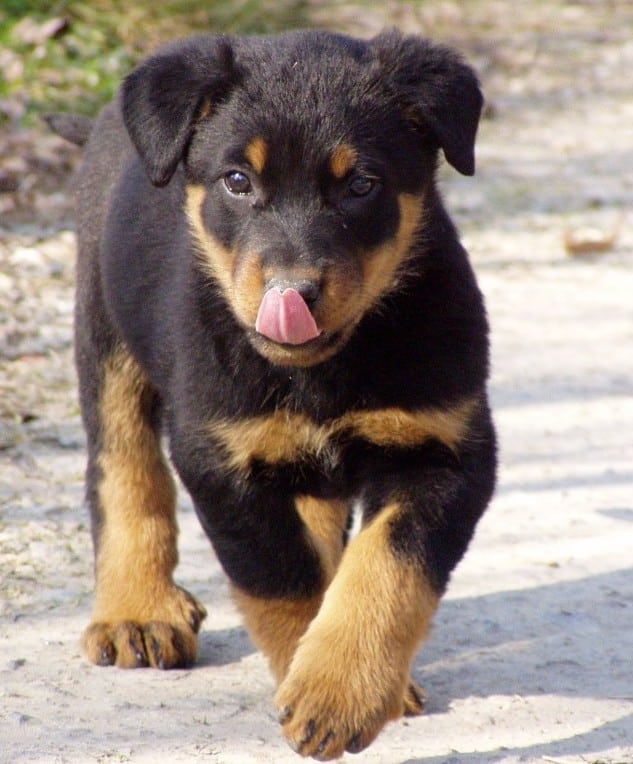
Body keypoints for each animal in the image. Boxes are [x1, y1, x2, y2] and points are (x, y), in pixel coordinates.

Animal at [60, 28, 494, 760]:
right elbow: (283, 581)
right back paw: (138, 611)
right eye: (238, 181)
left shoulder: (443, 450)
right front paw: (318, 686)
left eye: (361, 185)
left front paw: (340, 687)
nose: (292, 294)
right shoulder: (220, 460)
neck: (318, 372)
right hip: (107, 334)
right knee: (124, 469)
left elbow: (384, 571)